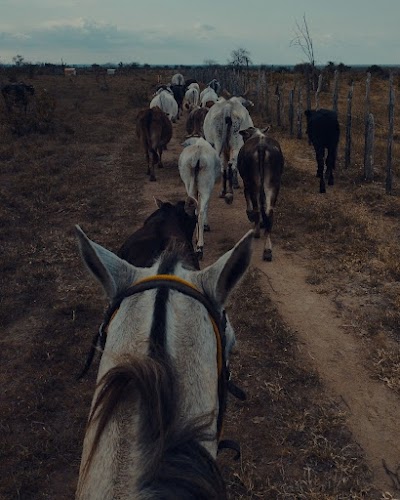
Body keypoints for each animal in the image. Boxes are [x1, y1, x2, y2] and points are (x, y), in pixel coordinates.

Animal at [238, 126, 284, 262]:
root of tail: (261, 146)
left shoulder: (246, 181)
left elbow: (247, 196)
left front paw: (250, 215)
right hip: (273, 184)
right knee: (269, 210)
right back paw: (267, 250)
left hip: (255, 183)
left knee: (257, 206)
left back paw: (257, 231)